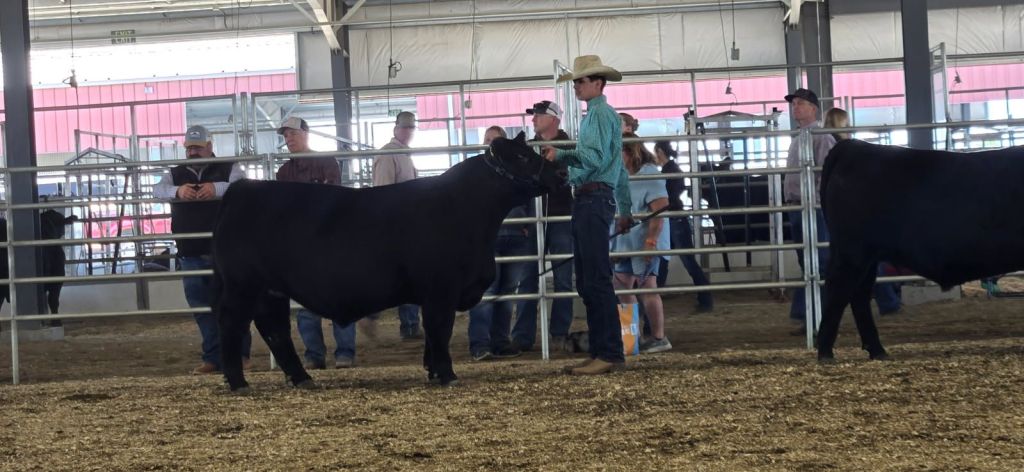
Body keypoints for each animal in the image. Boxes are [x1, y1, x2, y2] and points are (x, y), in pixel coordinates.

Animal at [211, 132, 567, 392]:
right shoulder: (441, 289)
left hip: (271, 290)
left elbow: (432, 334)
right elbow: (440, 329)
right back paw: (238, 382)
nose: (561, 172)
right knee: (232, 324)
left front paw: (433, 372)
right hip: (243, 285)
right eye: (522, 157)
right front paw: (447, 375)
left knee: (275, 330)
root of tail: (243, 187)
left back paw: (302, 379)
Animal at [817, 138, 1024, 362]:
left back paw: (877, 350)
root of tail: (853, 145)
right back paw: (826, 353)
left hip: (866, 257)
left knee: (858, 294)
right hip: (853, 252)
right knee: (838, 290)